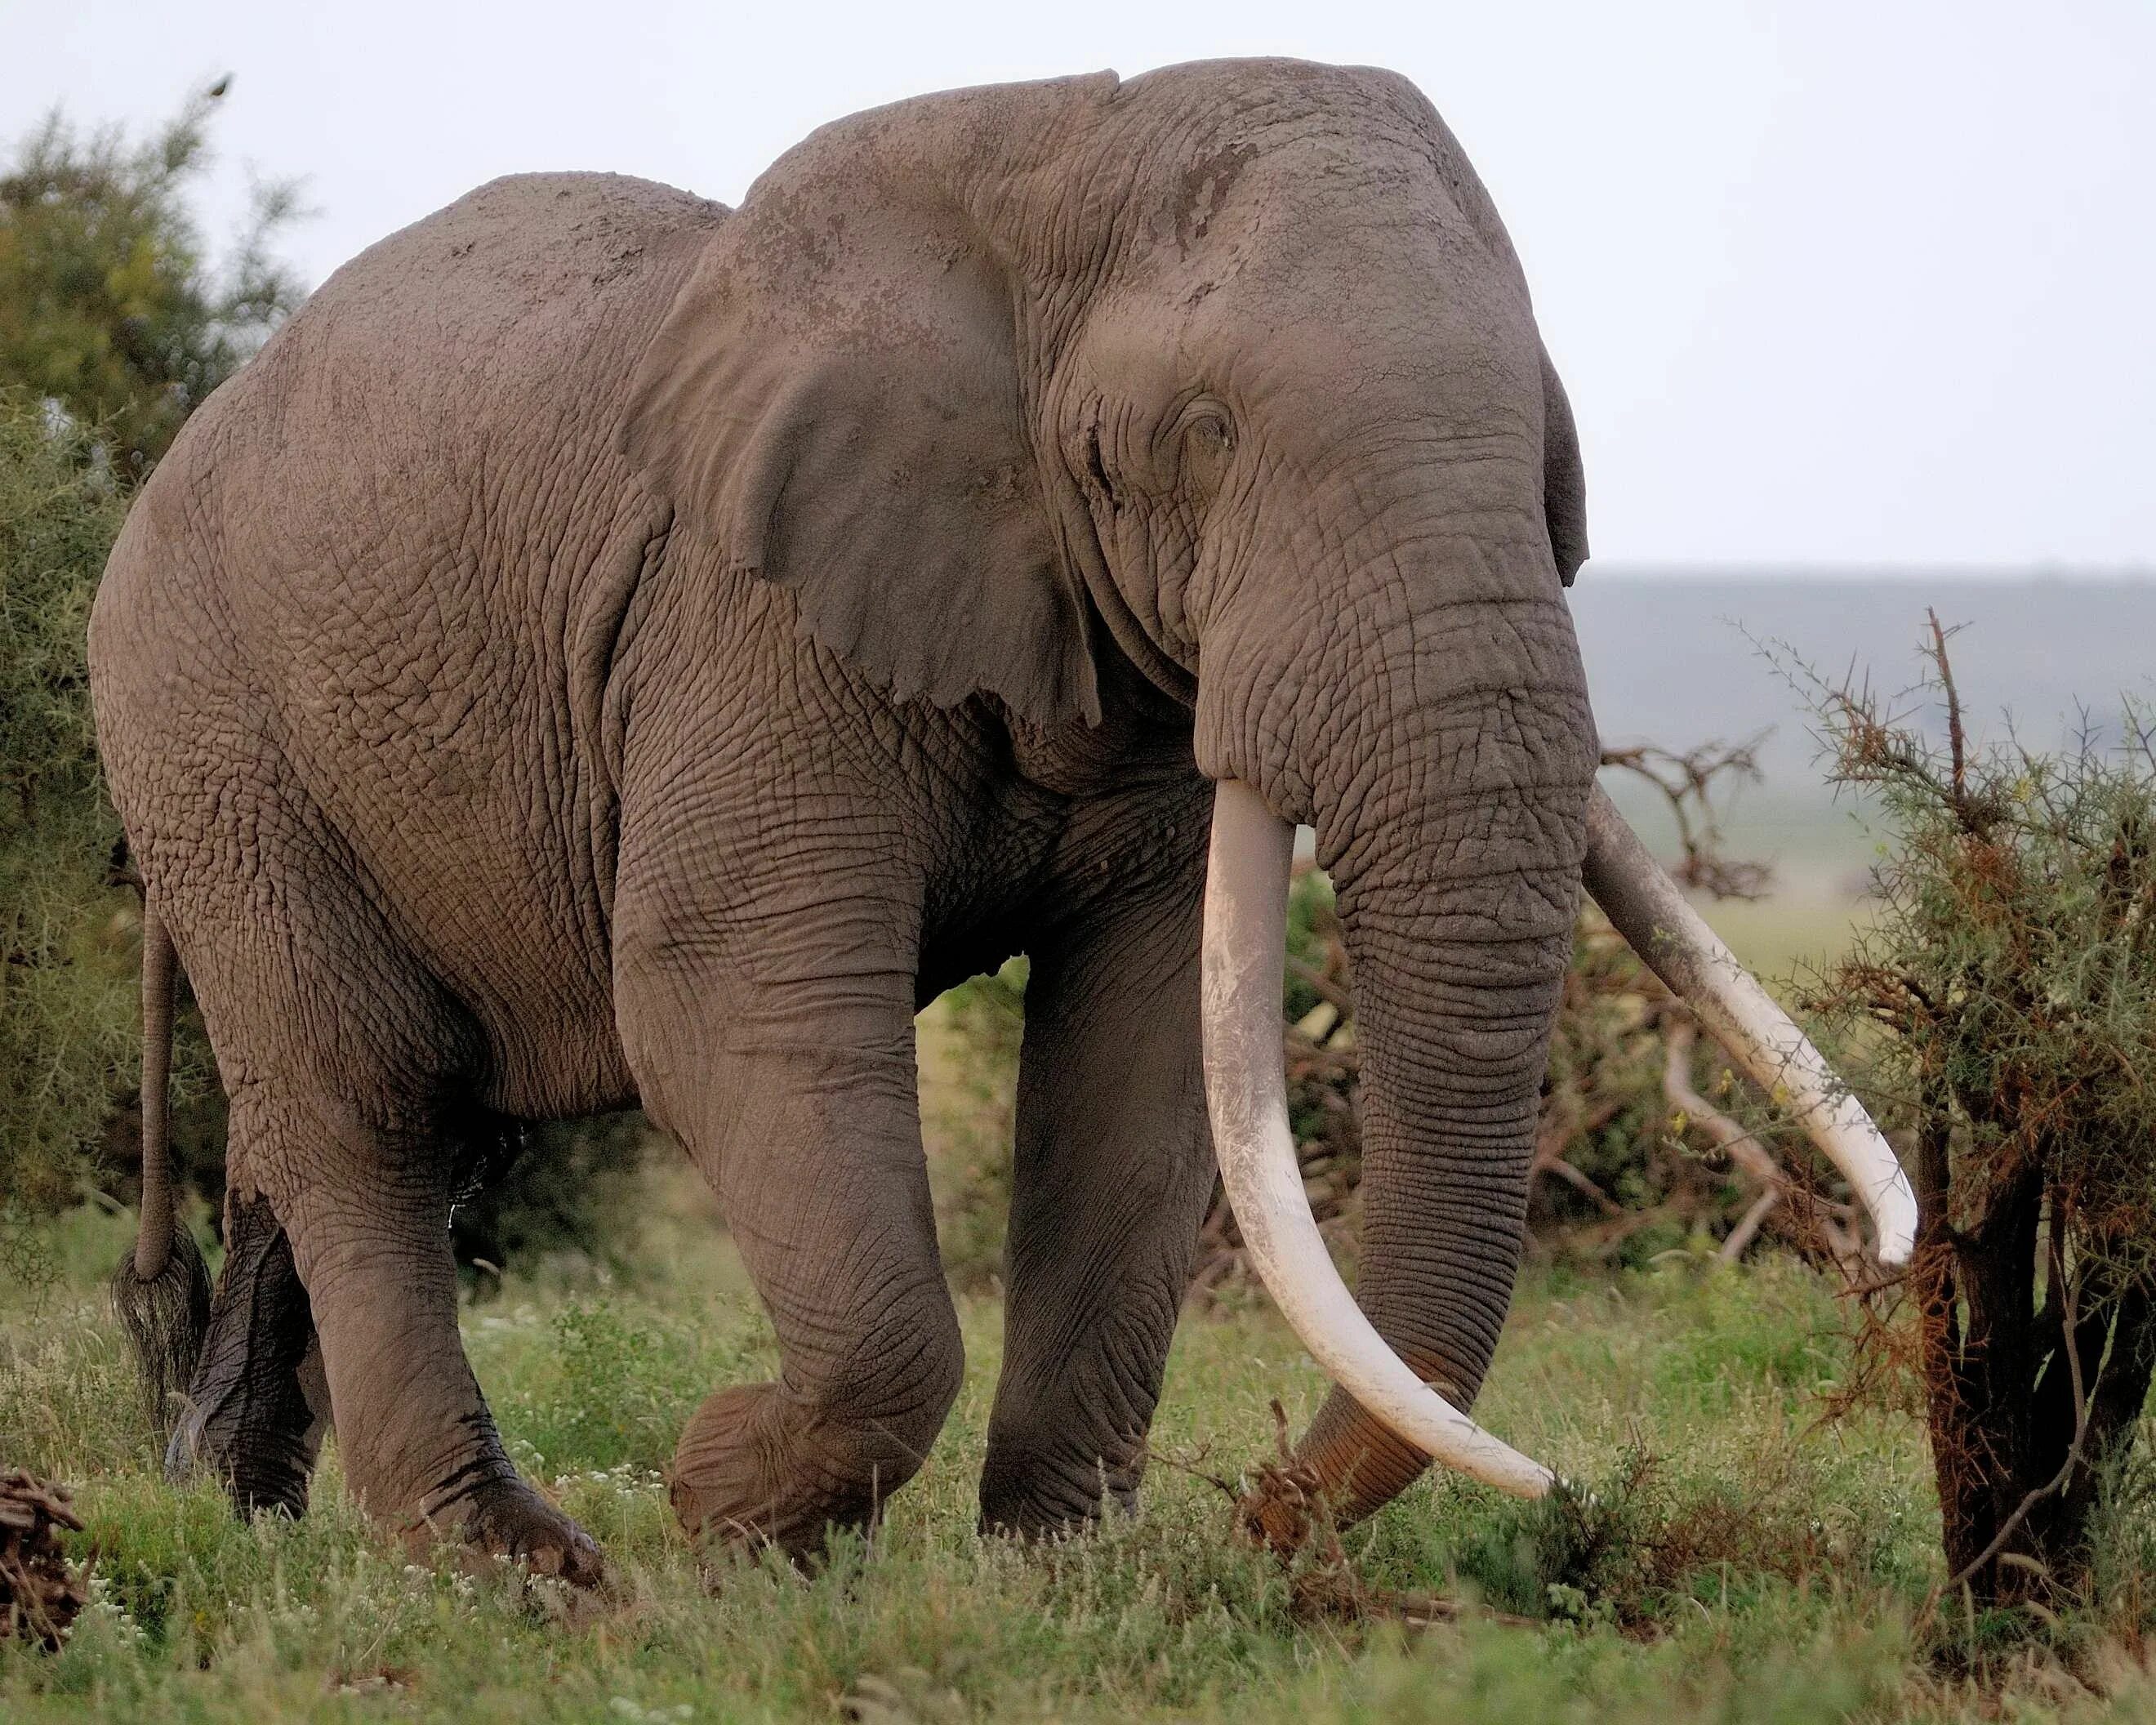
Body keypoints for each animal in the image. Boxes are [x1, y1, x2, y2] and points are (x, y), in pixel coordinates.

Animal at [92, 60, 1914, 1587]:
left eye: (1551, 457)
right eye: (1203, 438)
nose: (1262, 1512)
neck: (1044, 168)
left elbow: (1141, 1055)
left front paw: (1062, 1576)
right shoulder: (742, 620)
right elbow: (724, 997)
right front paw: (725, 1513)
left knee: (391, 1126)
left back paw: (230, 1507)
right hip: (206, 727)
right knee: (371, 1102)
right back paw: (514, 1572)